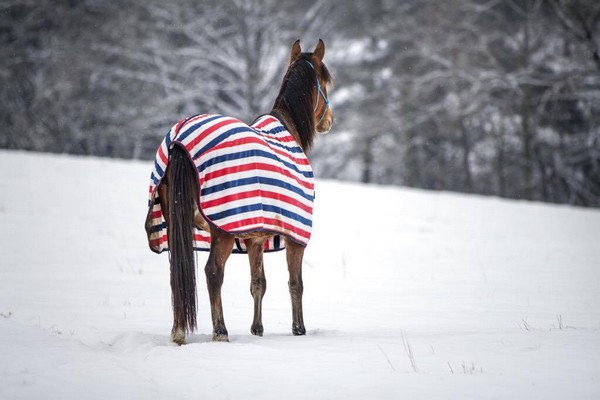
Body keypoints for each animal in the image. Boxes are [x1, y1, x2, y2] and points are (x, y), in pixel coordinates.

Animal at [144, 39, 332, 344]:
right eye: (327, 81)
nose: (329, 121)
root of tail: (179, 143)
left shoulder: (254, 237)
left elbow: (258, 283)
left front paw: (257, 330)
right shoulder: (295, 237)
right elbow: (296, 284)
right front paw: (298, 330)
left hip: (176, 223)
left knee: (178, 272)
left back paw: (178, 331)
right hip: (221, 231)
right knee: (213, 272)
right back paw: (220, 331)